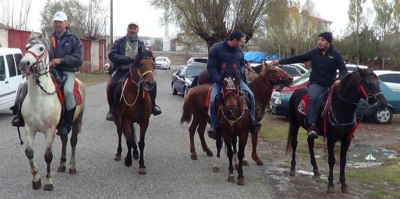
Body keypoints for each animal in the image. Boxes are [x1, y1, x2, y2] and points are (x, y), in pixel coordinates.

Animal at [19, 30, 85, 190]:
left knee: (73, 141)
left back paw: (72, 167)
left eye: (41, 48)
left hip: (77, 121)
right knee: (64, 139)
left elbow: (48, 155)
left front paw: (48, 182)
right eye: (27, 47)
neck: (38, 98)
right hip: (62, 127)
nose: (24, 63)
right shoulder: (29, 128)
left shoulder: (50, 130)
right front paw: (36, 179)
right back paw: (62, 165)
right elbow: (29, 152)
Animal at [109, 46, 156, 174]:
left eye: (153, 64)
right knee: (120, 132)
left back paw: (135, 153)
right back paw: (119, 153)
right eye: (141, 64)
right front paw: (128, 160)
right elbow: (130, 140)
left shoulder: (144, 121)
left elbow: (141, 143)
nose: (150, 83)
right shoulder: (126, 120)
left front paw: (142, 165)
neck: (137, 93)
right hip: (117, 117)